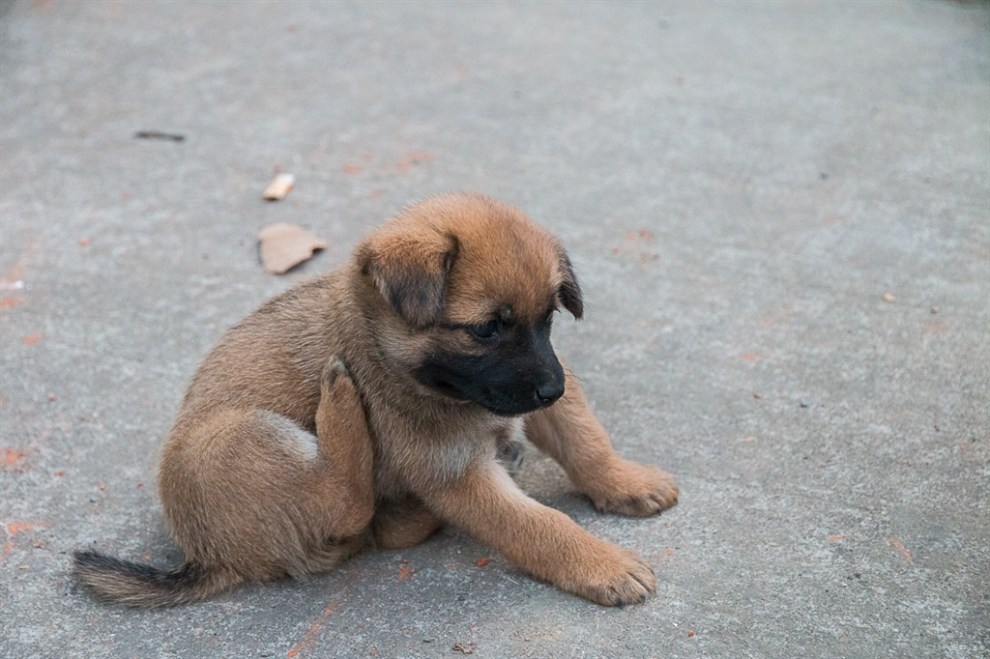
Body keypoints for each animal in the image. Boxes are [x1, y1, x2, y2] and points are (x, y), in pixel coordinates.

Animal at [73, 195, 680, 608]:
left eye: (548, 317)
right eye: (486, 329)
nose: (550, 389)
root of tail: (208, 556)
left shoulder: (535, 390)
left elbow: (585, 441)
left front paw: (626, 481)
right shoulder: (457, 474)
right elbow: (542, 527)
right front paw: (601, 564)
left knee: (370, 526)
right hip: (239, 436)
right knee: (347, 505)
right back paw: (341, 405)